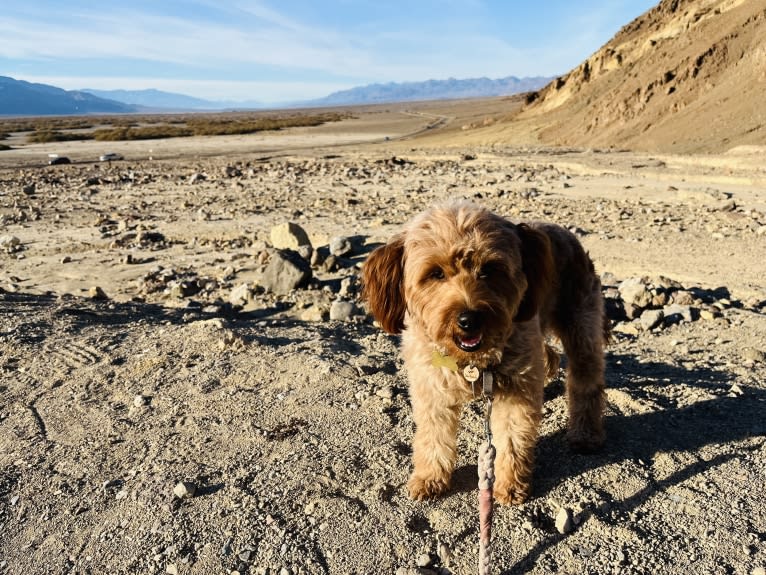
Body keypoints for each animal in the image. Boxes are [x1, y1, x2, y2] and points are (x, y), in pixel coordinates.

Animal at [362, 201, 612, 504]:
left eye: (490, 269)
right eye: (435, 273)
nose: (469, 319)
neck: (471, 360)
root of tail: (565, 233)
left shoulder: (517, 390)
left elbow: (513, 438)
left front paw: (510, 484)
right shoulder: (431, 388)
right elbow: (433, 435)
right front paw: (429, 478)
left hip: (580, 323)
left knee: (586, 381)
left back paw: (586, 434)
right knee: (551, 358)